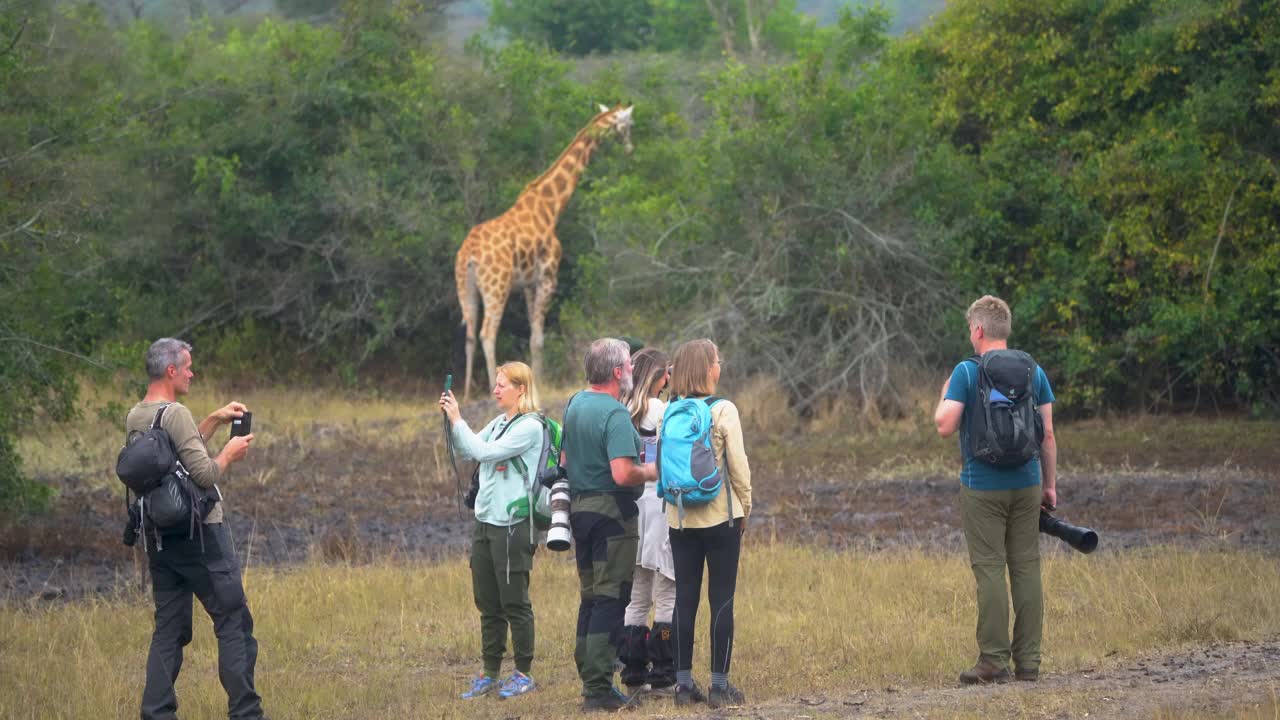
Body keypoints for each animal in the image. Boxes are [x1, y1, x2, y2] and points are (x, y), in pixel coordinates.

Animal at [455, 103, 634, 399]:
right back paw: (492, 384)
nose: (629, 147)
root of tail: (468, 254)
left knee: (469, 334)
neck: (550, 208)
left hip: (465, 287)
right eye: (628, 124)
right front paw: (536, 382)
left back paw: (467, 393)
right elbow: (538, 338)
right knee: (486, 333)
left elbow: (533, 336)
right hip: (496, 286)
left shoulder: (528, 284)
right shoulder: (547, 278)